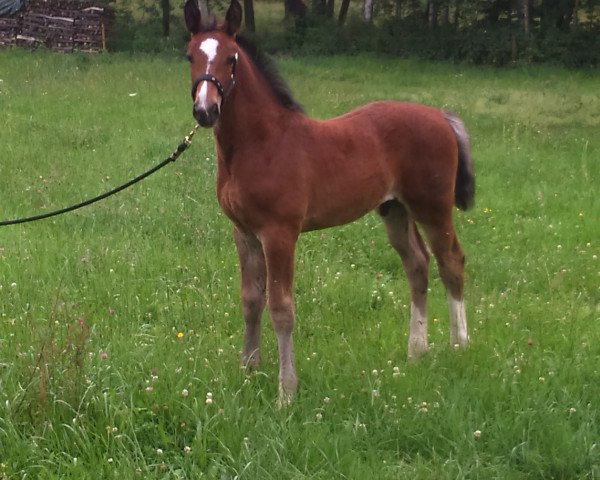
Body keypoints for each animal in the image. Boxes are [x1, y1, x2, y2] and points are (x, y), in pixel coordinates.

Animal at [183, 0, 474, 404]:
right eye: (190, 55)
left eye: (231, 58)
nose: (205, 111)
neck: (262, 144)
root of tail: (441, 116)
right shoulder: (244, 233)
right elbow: (250, 300)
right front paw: (248, 371)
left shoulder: (279, 233)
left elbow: (281, 308)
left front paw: (285, 392)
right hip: (394, 209)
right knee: (417, 264)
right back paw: (416, 350)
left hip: (432, 207)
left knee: (451, 261)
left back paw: (459, 345)